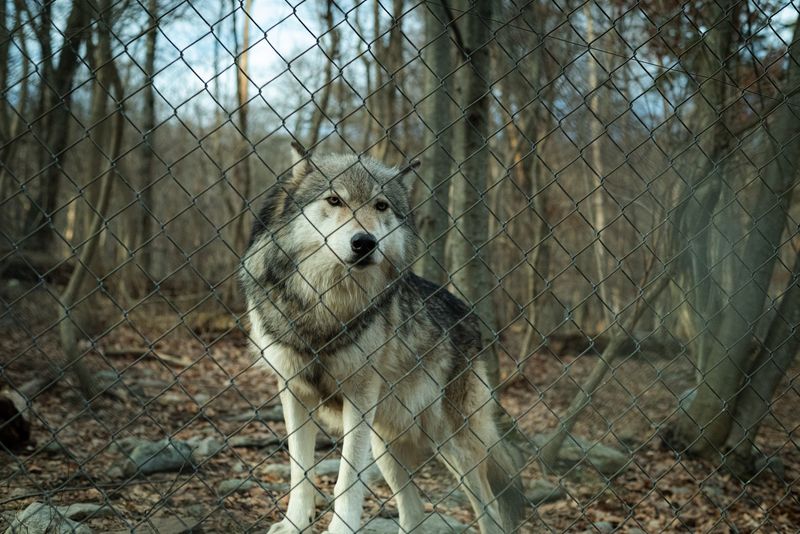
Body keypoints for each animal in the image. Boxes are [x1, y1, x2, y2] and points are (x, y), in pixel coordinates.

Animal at [239, 142, 525, 534]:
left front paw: (340, 529)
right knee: (414, 513)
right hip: (386, 448)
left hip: (451, 445)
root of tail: (471, 317)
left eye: (381, 205)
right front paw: (294, 524)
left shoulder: (360, 396)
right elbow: (300, 471)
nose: (364, 242)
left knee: (490, 510)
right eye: (334, 200)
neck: (325, 305)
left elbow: (346, 481)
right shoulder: (294, 392)